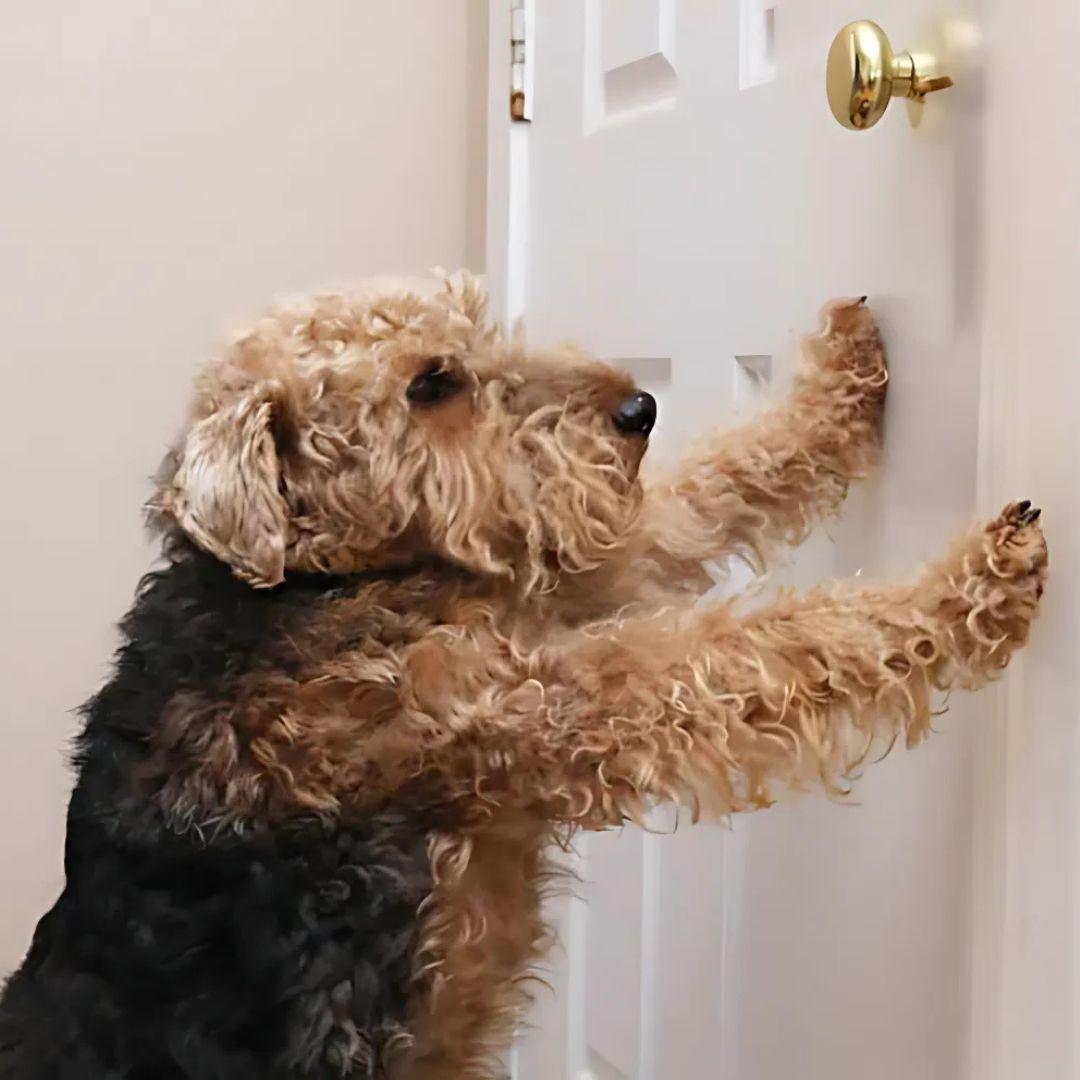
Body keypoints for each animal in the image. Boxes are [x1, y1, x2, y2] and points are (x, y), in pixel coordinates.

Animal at [0, 274, 1045, 1075]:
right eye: (431, 384)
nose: (639, 408)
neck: (312, 584)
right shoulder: (541, 700)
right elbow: (762, 644)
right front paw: (978, 581)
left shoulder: (570, 597)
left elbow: (715, 482)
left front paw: (849, 365)